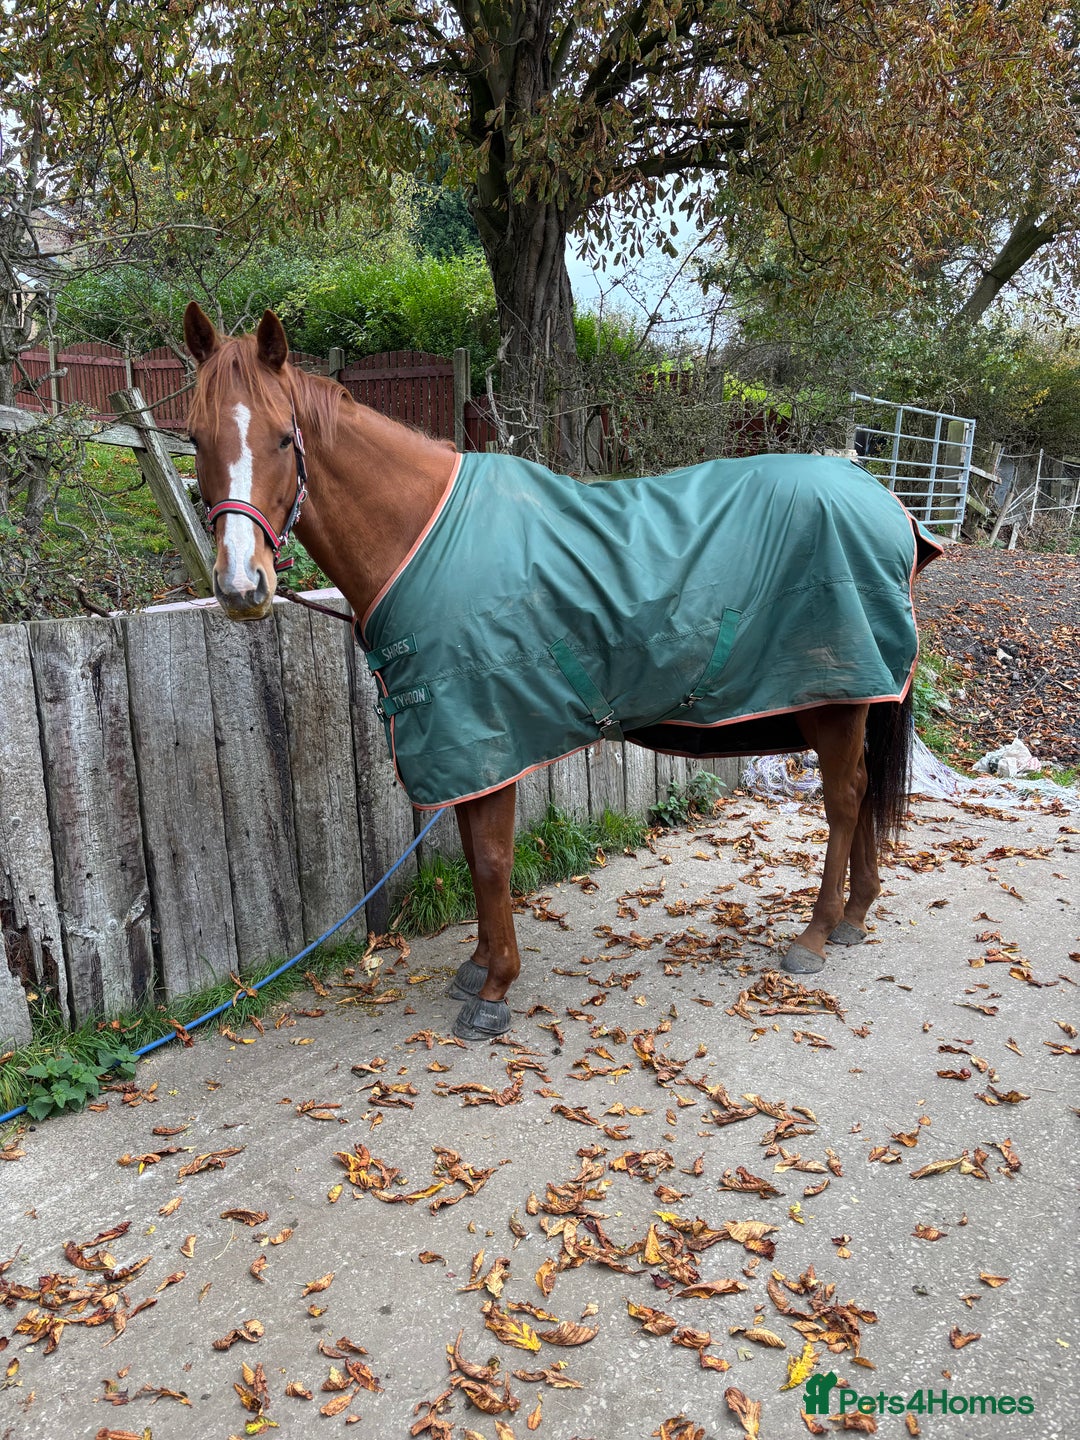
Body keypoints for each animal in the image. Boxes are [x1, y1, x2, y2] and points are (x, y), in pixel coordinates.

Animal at [183, 302, 941, 1042]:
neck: (423, 536)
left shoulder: (486, 738)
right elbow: (473, 851)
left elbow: (491, 861)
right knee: (862, 791)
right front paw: (477, 966)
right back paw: (854, 917)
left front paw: (494, 991)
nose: (241, 586)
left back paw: (814, 935)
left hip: (837, 698)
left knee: (844, 800)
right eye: (194, 438)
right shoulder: (471, 753)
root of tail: (889, 505)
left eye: (285, 438)